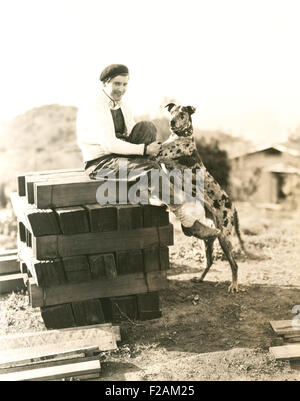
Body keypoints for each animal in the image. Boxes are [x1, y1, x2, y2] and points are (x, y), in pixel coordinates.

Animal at [155, 101, 251, 292]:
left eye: (182, 113)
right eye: (172, 111)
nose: (171, 122)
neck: (182, 137)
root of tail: (234, 207)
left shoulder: (159, 154)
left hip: (224, 238)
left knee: (234, 264)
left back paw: (234, 285)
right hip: (208, 240)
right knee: (210, 261)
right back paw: (200, 278)